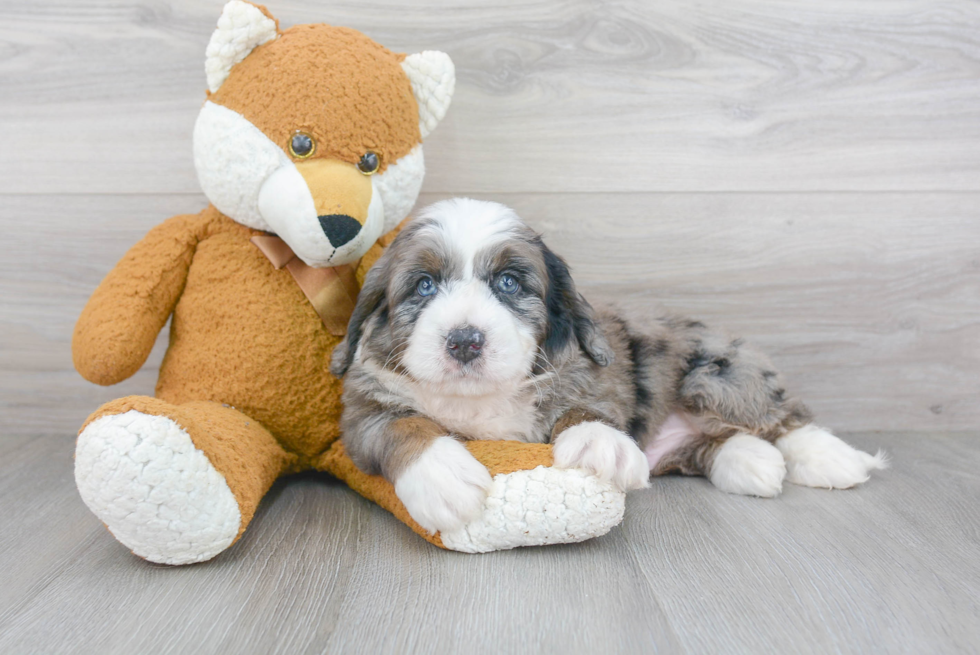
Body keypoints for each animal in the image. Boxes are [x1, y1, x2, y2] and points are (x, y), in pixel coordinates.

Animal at [332, 199, 888, 532]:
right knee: (716, 446)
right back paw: (751, 462)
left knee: (783, 415)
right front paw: (443, 476)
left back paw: (832, 458)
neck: (478, 398)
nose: (465, 342)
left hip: (717, 373)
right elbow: (402, 425)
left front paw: (599, 444)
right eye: (423, 286)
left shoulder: (590, 375)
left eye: (509, 282)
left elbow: (587, 408)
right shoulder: (361, 414)